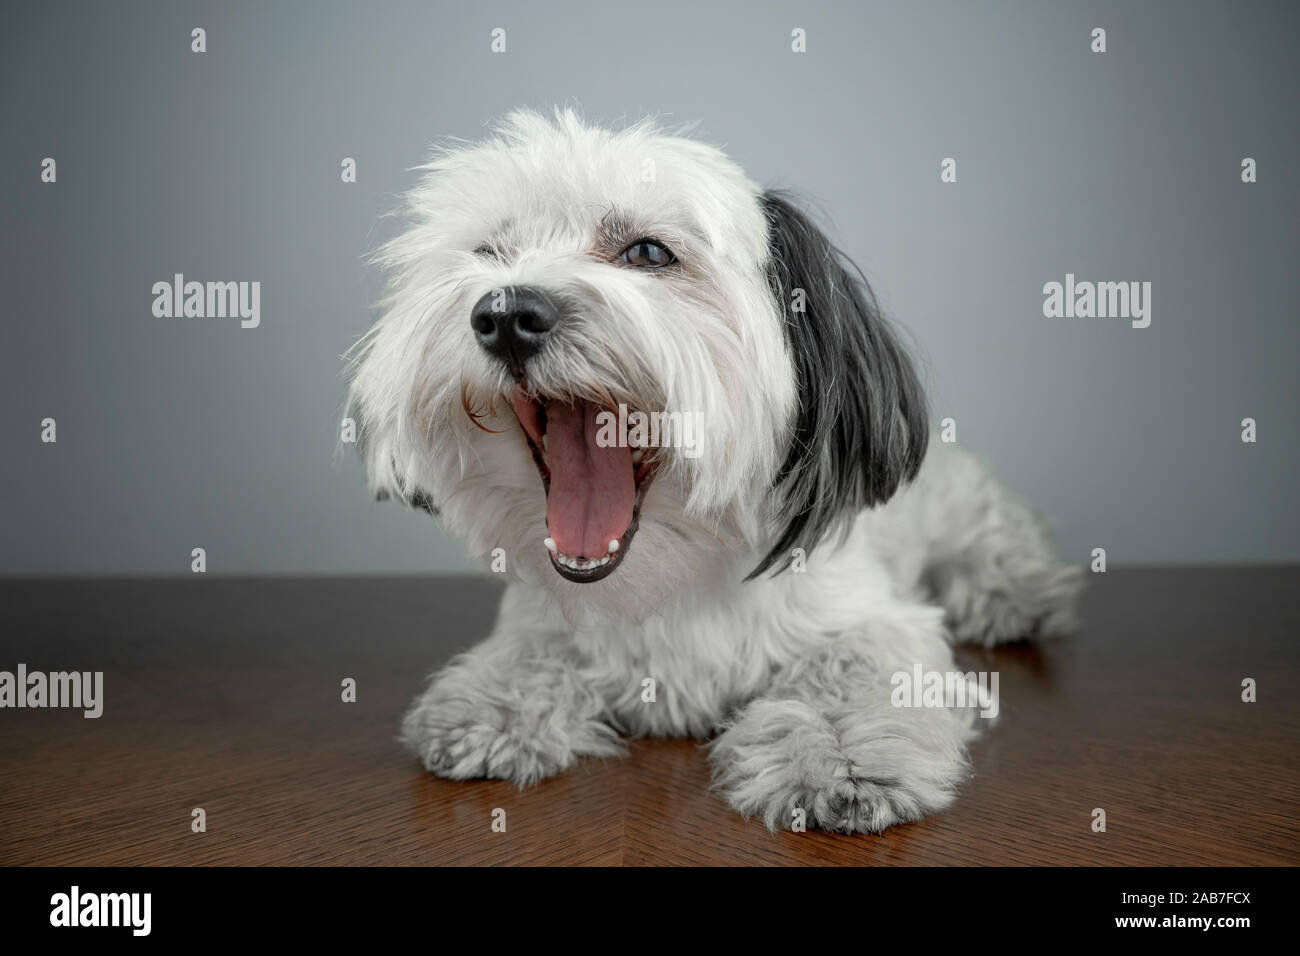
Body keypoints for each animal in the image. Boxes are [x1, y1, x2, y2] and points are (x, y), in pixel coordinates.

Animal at [348, 110, 1086, 832]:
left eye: (648, 253)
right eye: (489, 253)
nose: (506, 313)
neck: (670, 579)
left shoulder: (873, 619)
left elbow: (850, 669)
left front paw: (840, 754)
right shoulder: (541, 621)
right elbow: (535, 651)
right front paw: (495, 703)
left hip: (966, 513)